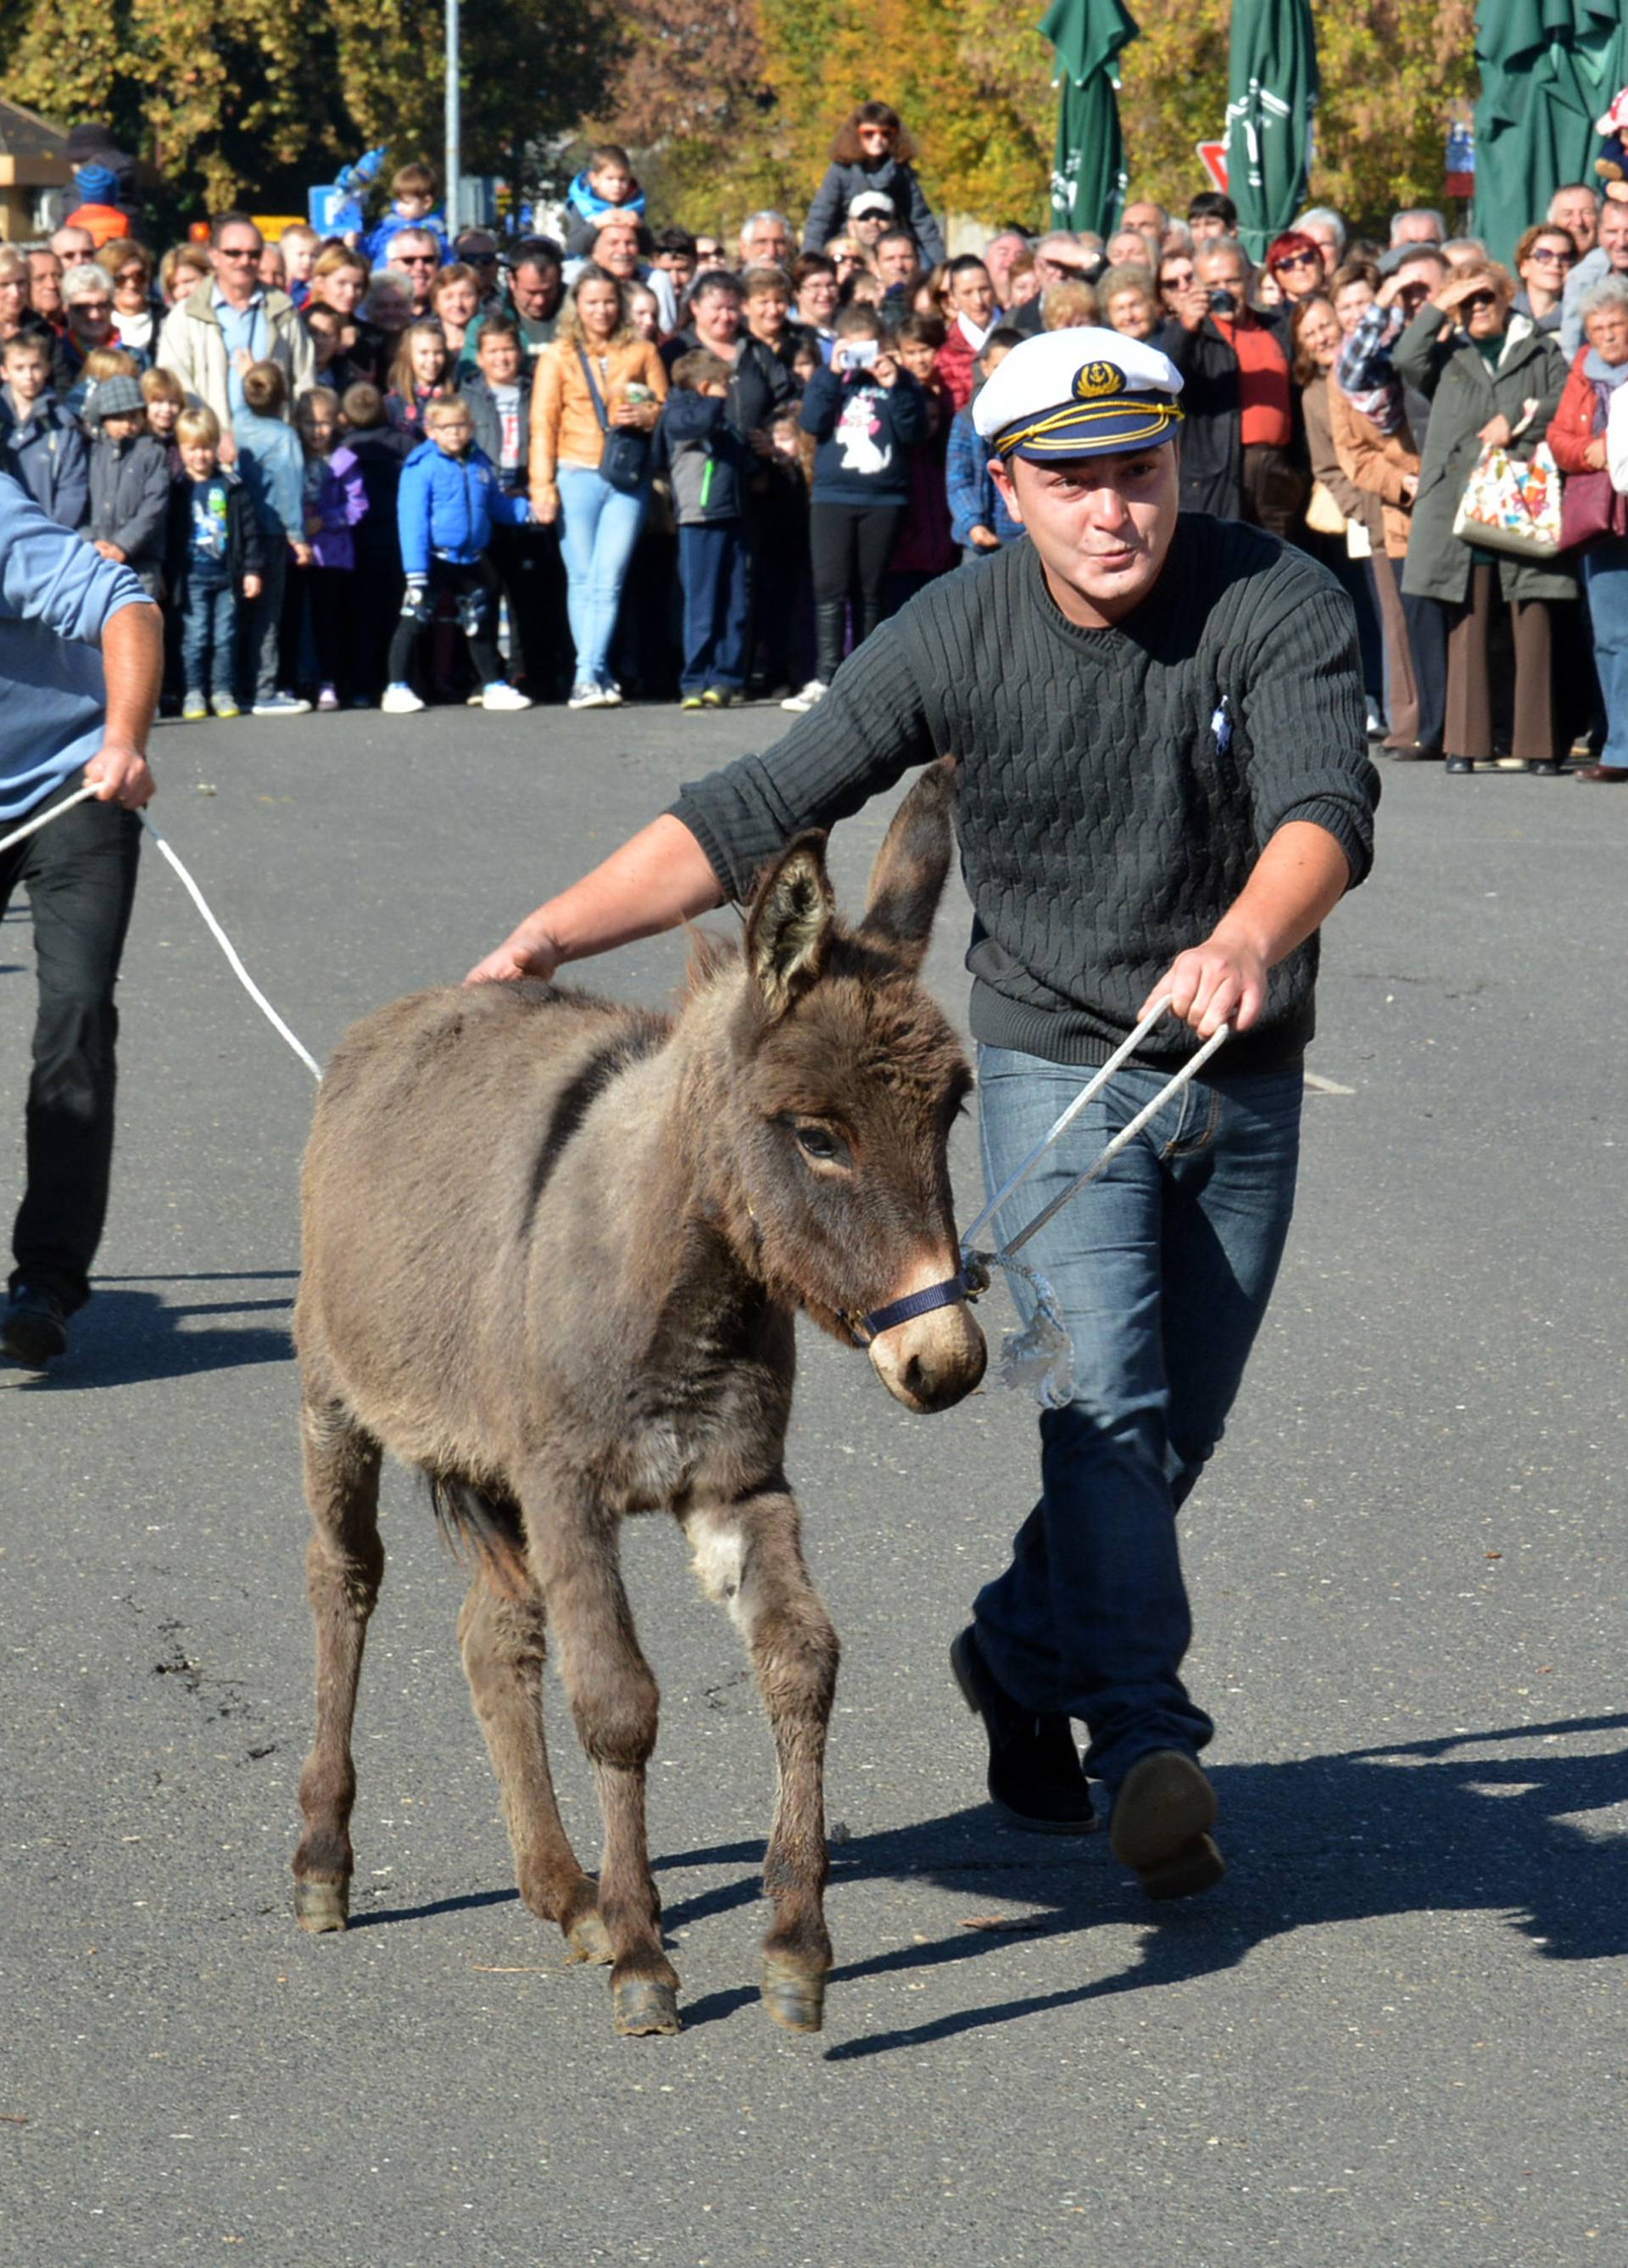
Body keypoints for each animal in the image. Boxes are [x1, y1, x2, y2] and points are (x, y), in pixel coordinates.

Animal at [288, 762, 988, 2041]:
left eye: (951, 1111)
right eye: (817, 1135)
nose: (947, 1360)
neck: (680, 1281)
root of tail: (408, 1013)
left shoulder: (736, 1480)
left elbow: (803, 1659)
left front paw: (794, 1946)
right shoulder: (571, 1487)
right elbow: (616, 1702)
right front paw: (647, 1962)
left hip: (494, 1465)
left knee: (493, 1635)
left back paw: (563, 1889)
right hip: (336, 1399)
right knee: (343, 1585)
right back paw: (326, 1860)